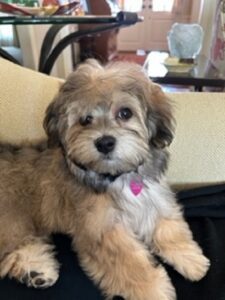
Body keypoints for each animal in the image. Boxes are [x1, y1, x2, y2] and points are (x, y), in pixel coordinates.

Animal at [0, 59, 209, 298]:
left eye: (125, 113)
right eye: (85, 120)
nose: (105, 143)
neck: (118, 175)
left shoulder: (154, 200)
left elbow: (169, 228)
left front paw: (191, 259)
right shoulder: (103, 229)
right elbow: (130, 263)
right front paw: (153, 290)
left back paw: (37, 272)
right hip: (14, 217)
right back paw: (35, 269)